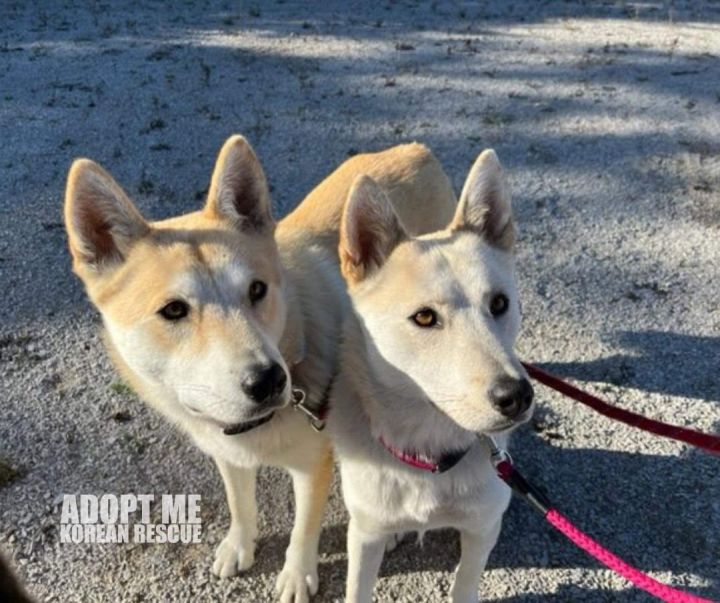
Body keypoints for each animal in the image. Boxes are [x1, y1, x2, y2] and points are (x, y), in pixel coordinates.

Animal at [63, 134, 456, 600]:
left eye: (257, 289)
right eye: (173, 310)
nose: (270, 380)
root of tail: (416, 149)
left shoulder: (312, 465)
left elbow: (303, 529)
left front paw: (297, 575)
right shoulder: (228, 454)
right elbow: (240, 504)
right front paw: (240, 546)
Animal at [328, 149, 536, 600]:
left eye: (499, 303)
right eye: (424, 317)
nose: (515, 396)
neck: (427, 454)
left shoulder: (482, 529)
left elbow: (464, 586)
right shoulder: (363, 537)